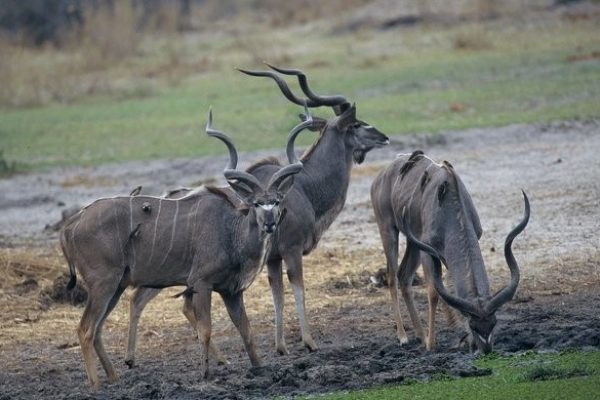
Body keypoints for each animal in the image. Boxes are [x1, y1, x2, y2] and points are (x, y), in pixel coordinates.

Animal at [59, 109, 310, 388]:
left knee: (98, 329)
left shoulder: (231, 291)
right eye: (256, 203)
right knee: (85, 329)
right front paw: (205, 374)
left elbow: (246, 329)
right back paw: (96, 385)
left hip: (116, 286)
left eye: (276, 201)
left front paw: (260, 369)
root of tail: (71, 225)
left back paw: (115, 377)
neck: (230, 231)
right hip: (104, 283)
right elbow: (206, 329)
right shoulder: (201, 284)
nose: (269, 223)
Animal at [236, 65, 390, 354]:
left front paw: (281, 347)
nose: (384, 137)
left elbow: (278, 296)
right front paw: (309, 342)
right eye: (356, 124)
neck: (303, 186)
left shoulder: (273, 258)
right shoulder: (292, 250)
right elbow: (299, 291)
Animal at [370, 151, 528, 354]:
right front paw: (431, 344)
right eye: (474, 326)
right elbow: (433, 292)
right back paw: (404, 337)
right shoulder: (428, 250)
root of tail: (380, 176)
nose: (485, 349)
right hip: (388, 231)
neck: (451, 207)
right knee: (392, 277)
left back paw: (420, 335)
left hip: (412, 244)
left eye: (493, 322)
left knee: (404, 275)